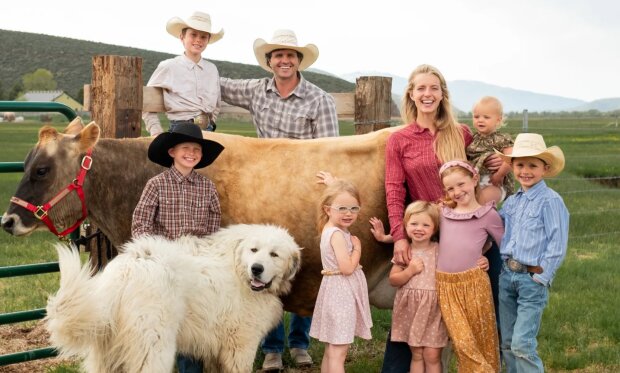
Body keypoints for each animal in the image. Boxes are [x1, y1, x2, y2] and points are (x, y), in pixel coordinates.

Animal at [44, 222, 302, 370]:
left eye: (274, 254)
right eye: (254, 250)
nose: (256, 269)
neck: (239, 266)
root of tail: (127, 268)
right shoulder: (240, 345)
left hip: (107, 353)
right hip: (154, 347)